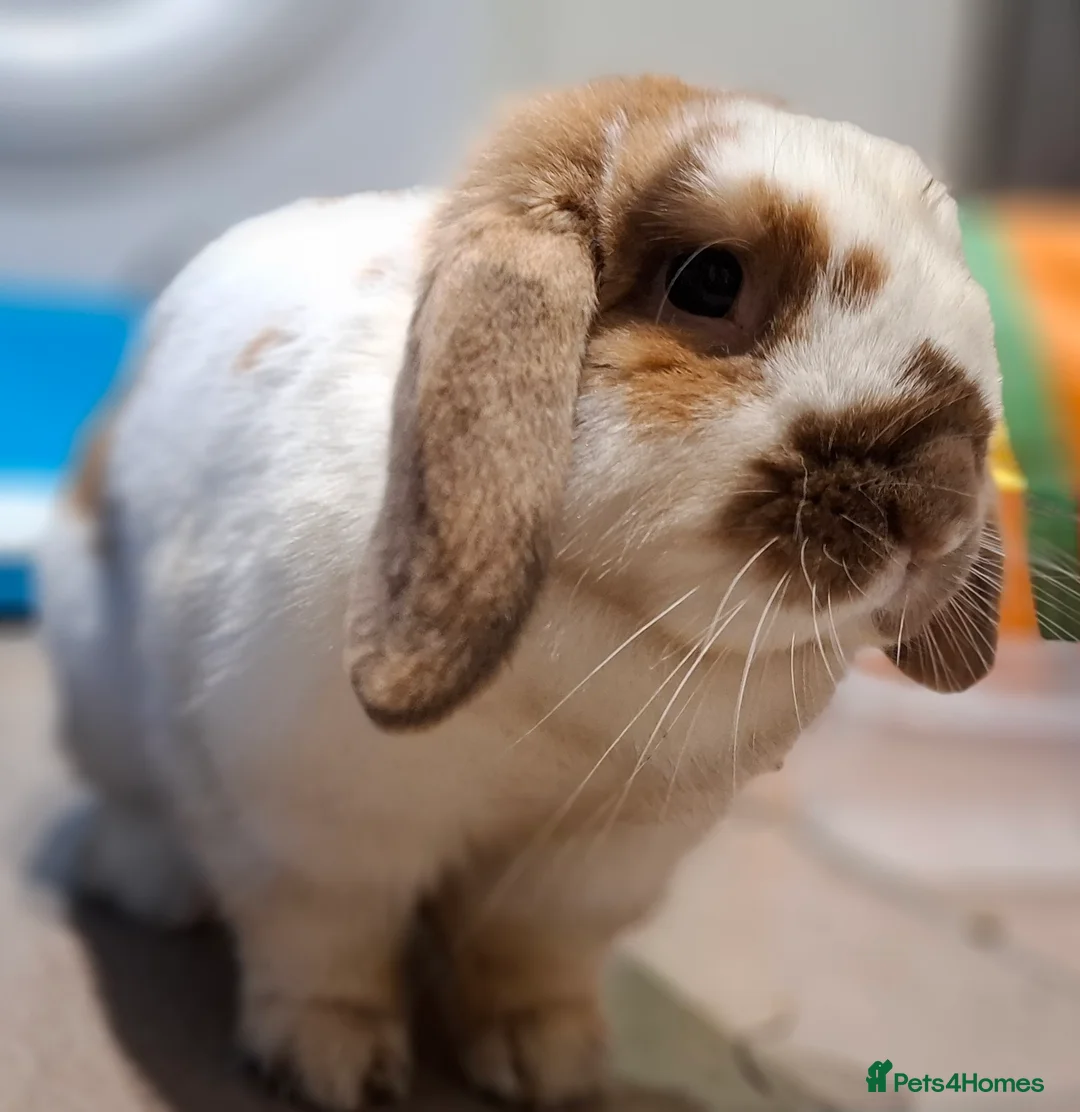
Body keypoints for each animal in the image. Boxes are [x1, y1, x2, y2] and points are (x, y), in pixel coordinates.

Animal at [38, 75, 1003, 1109]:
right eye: (709, 280)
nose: (943, 499)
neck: (597, 635)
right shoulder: (307, 829)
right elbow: (323, 946)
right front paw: (334, 1065)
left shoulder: (587, 869)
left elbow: (530, 959)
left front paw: (552, 1066)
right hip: (102, 703)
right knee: (134, 806)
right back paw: (150, 881)